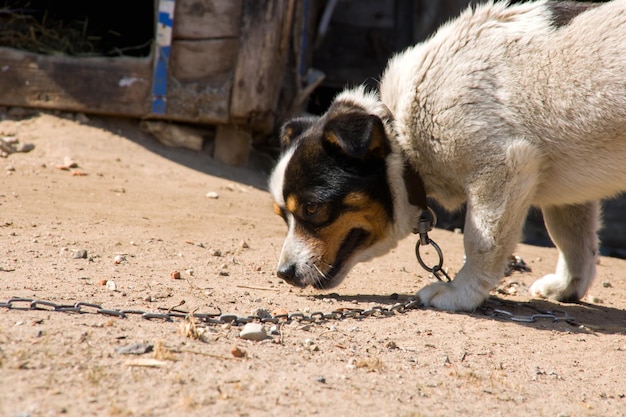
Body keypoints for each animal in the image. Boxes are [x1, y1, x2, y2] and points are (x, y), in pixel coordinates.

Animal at [268, 0, 624, 308]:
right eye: (281, 215)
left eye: (312, 208)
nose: (284, 274)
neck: (401, 130)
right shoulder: (570, 189)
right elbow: (572, 240)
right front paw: (567, 287)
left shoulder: (502, 169)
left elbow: (480, 242)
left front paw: (461, 293)